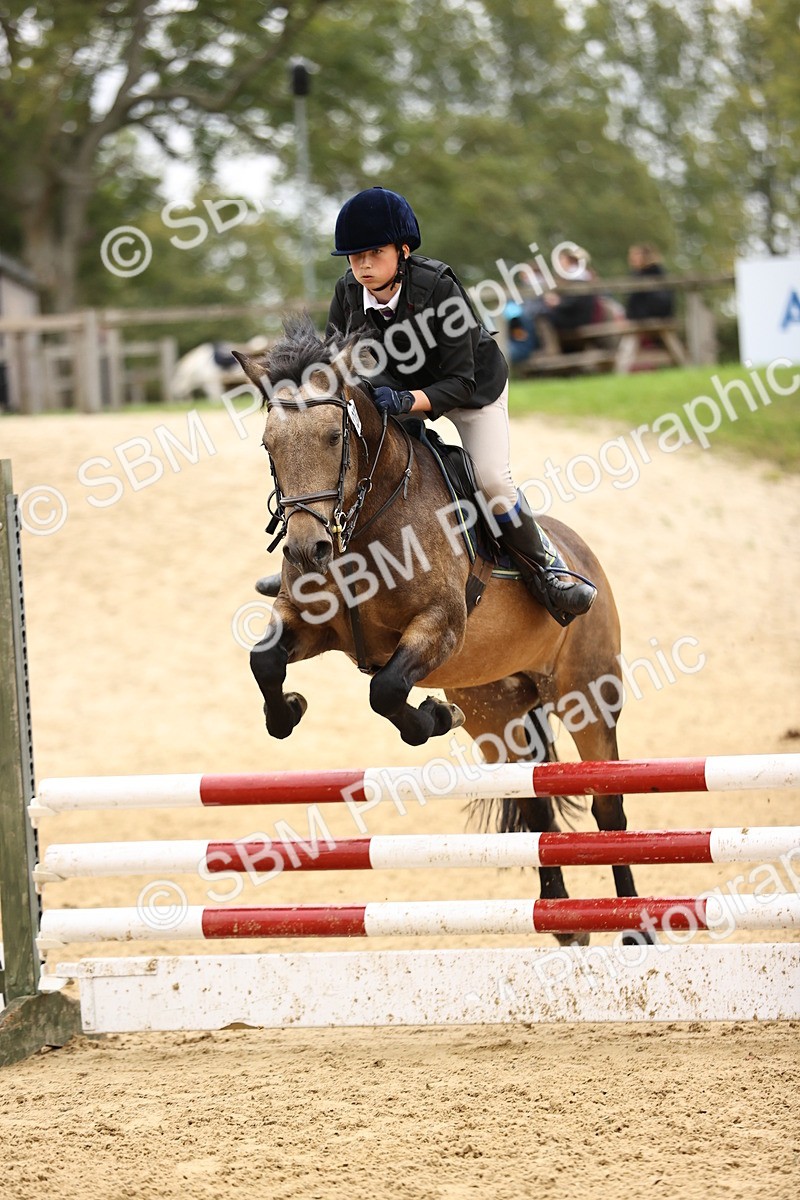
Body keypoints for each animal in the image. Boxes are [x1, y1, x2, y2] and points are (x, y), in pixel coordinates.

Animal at [233, 316, 651, 944]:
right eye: (268, 446)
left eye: (334, 437)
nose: (308, 551)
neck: (363, 524)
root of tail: (582, 554)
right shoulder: (307, 623)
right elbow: (265, 661)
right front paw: (289, 711)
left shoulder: (439, 626)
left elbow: (385, 689)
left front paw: (431, 716)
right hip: (497, 713)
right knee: (533, 804)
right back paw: (564, 921)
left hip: (588, 694)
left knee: (609, 808)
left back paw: (635, 929)